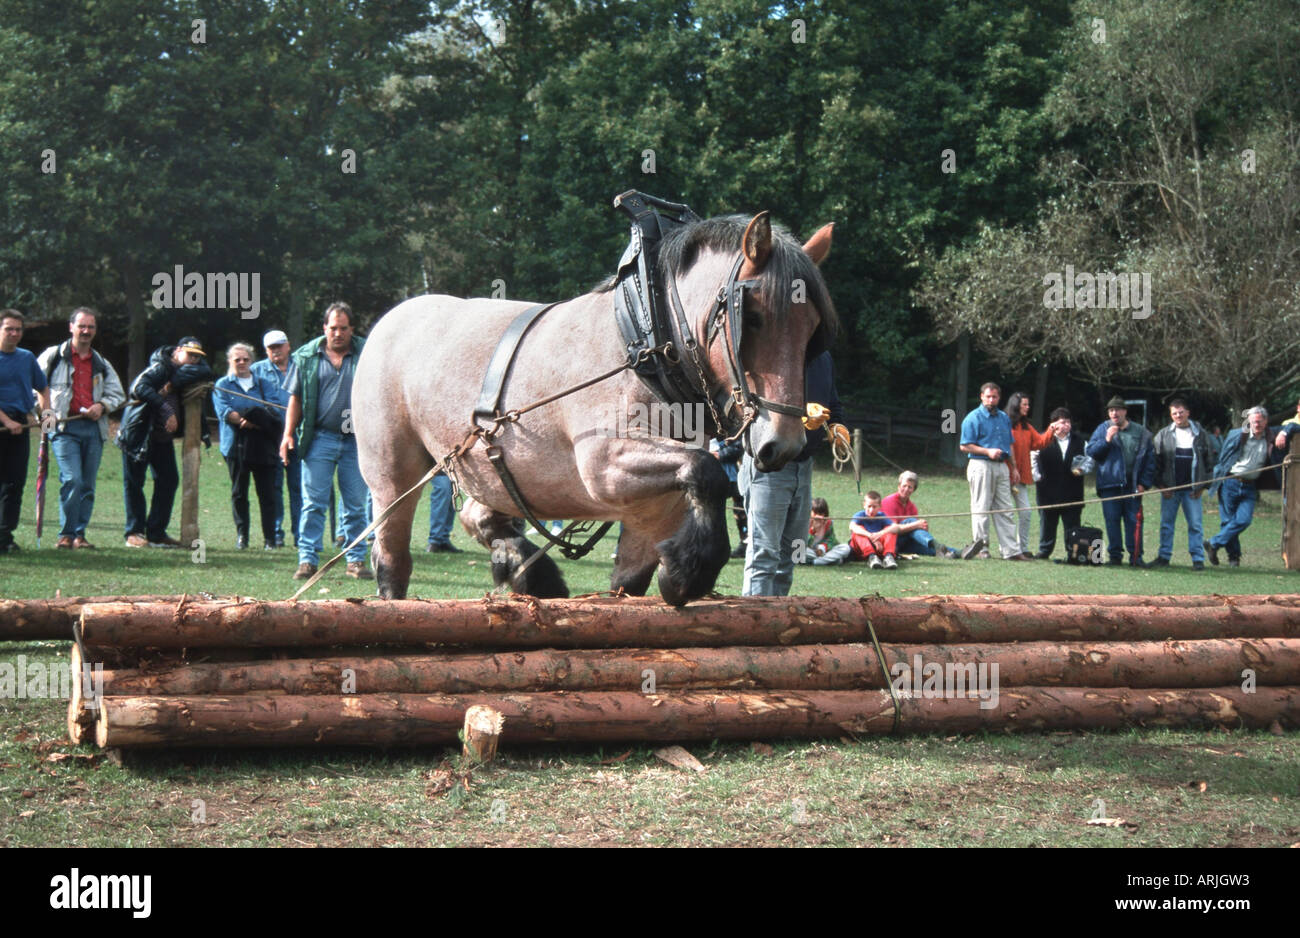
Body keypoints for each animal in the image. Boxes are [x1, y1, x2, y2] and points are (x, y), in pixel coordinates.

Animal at [352, 207, 836, 605]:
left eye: (812, 328)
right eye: (751, 316)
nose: (784, 445)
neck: (643, 342)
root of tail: (390, 319)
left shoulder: (651, 511)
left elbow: (629, 583)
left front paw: (680, 570)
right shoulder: (604, 465)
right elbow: (707, 470)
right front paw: (691, 573)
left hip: (494, 472)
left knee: (478, 514)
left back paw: (528, 569)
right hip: (392, 478)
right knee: (392, 559)